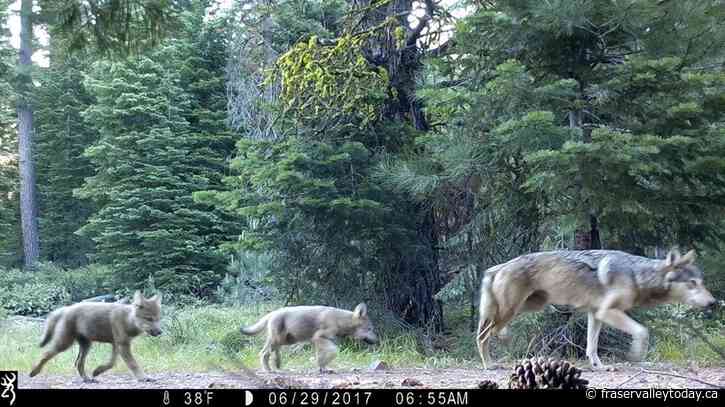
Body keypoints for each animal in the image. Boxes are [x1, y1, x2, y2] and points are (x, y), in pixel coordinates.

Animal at [29, 291, 163, 382]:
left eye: (158, 319)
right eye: (149, 319)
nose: (160, 332)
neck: (127, 320)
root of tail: (66, 308)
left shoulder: (117, 345)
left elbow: (111, 363)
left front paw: (97, 371)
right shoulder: (122, 345)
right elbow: (133, 364)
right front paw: (144, 377)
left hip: (86, 345)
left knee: (78, 363)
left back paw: (87, 379)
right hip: (64, 343)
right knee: (45, 354)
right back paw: (33, 372)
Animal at [241, 303, 379, 373]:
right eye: (370, 329)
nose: (377, 341)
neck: (340, 321)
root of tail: (272, 313)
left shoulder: (323, 341)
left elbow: (324, 355)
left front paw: (323, 368)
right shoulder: (319, 338)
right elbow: (333, 352)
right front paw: (322, 367)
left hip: (285, 341)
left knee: (272, 352)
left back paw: (277, 365)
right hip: (278, 340)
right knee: (263, 353)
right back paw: (269, 370)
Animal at [477, 249, 716, 369]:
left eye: (702, 282)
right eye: (692, 283)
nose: (713, 302)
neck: (637, 275)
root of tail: (497, 267)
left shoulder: (595, 313)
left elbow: (591, 346)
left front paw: (598, 366)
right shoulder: (607, 312)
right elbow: (642, 331)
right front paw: (635, 355)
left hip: (531, 305)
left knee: (490, 331)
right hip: (512, 309)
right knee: (484, 335)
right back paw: (490, 364)